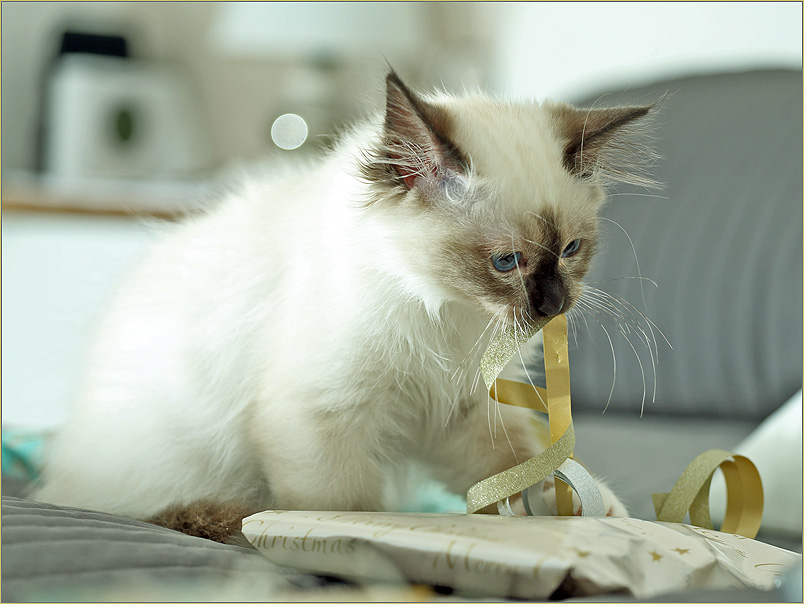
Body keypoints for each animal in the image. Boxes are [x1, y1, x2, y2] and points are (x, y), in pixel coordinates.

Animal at [34, 72, 656, 544]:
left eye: (571, 250)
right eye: (507, 262)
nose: (554, 304)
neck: (446, 314)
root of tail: (58, 485)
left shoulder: (459, 408)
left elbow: (521, 463)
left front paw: (588, 510)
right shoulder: (318, 417)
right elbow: (346, 506)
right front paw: (355, 536)